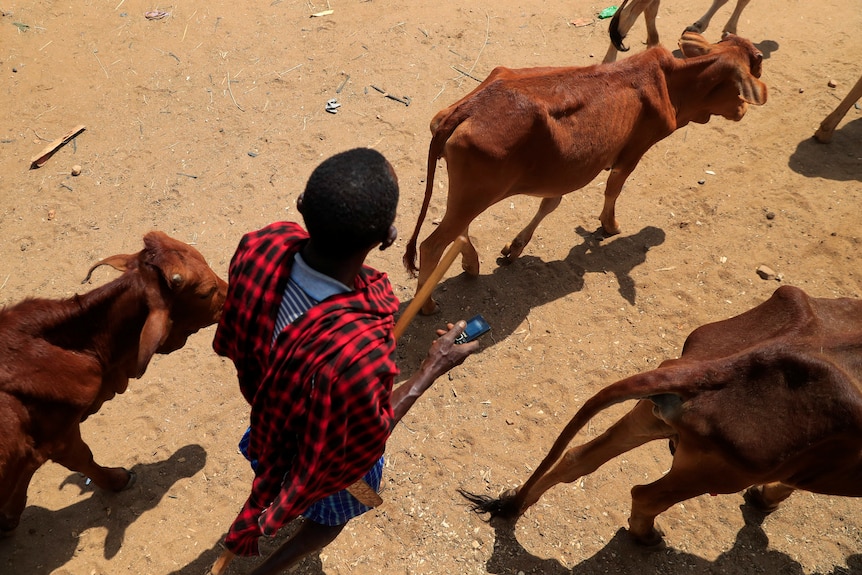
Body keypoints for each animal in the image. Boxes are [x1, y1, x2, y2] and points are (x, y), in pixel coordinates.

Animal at [0, 231, 228, 536]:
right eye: (205, 292)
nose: (231, 291)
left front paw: (7, 517)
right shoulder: (61, 438)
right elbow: (84, 459)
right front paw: (118, 479)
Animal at [404, 31, 768, 316]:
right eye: (747, 77)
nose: (744, 108)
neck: (670, 83)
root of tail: (468, 107)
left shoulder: (564, 173)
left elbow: (550, 205)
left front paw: (515, 247)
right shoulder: (632, 153)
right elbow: (613, 189)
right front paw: (609, 225)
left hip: (470, 195)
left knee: (458, 231)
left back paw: (471, 264)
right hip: (476, 194)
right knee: (432, 245)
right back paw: (427, 305)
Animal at [466, 286, 862, 548]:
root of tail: (716, 368)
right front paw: (765, 500)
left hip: (648, 417)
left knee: (576, 459)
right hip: (715, 472)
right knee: (646, 496)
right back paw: (646, 537)